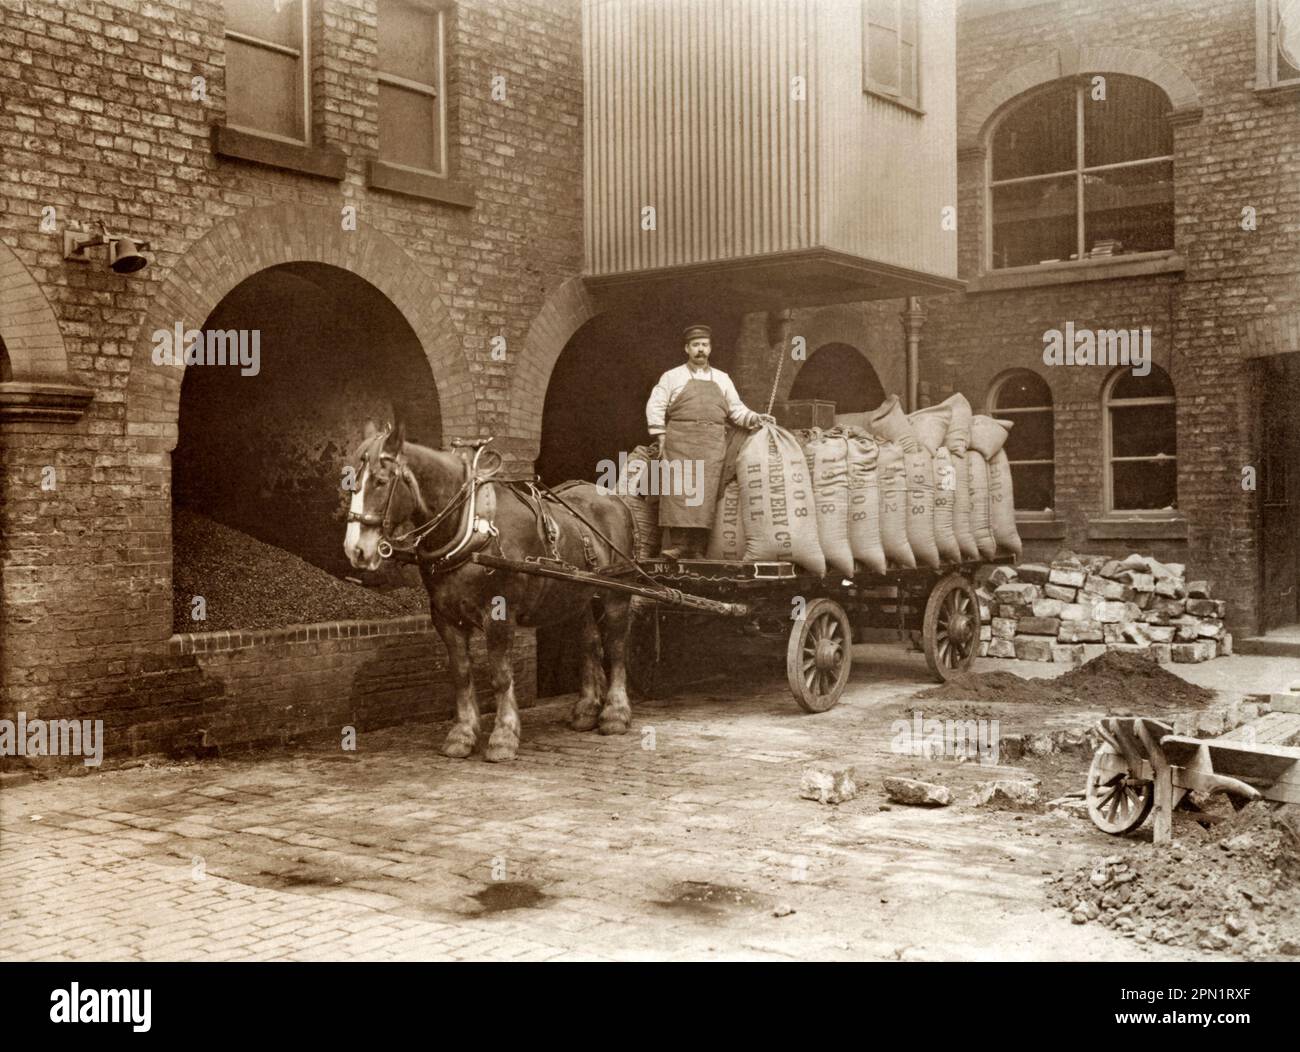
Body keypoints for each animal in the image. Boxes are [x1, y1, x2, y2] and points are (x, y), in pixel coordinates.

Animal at [340, 423, 634, 759]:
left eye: (380, 481)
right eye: (350, 483)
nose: (356, 550)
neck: (472, 527)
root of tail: (613, 500)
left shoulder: (499, 615)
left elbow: (501, 674)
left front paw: (504, 736)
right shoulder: (445, 617)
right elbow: (461, 674)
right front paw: (463, 733)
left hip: (616, 594)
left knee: (616, 646)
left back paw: (615, 714)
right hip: (577, 596)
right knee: (589, 644)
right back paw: (586, 710)